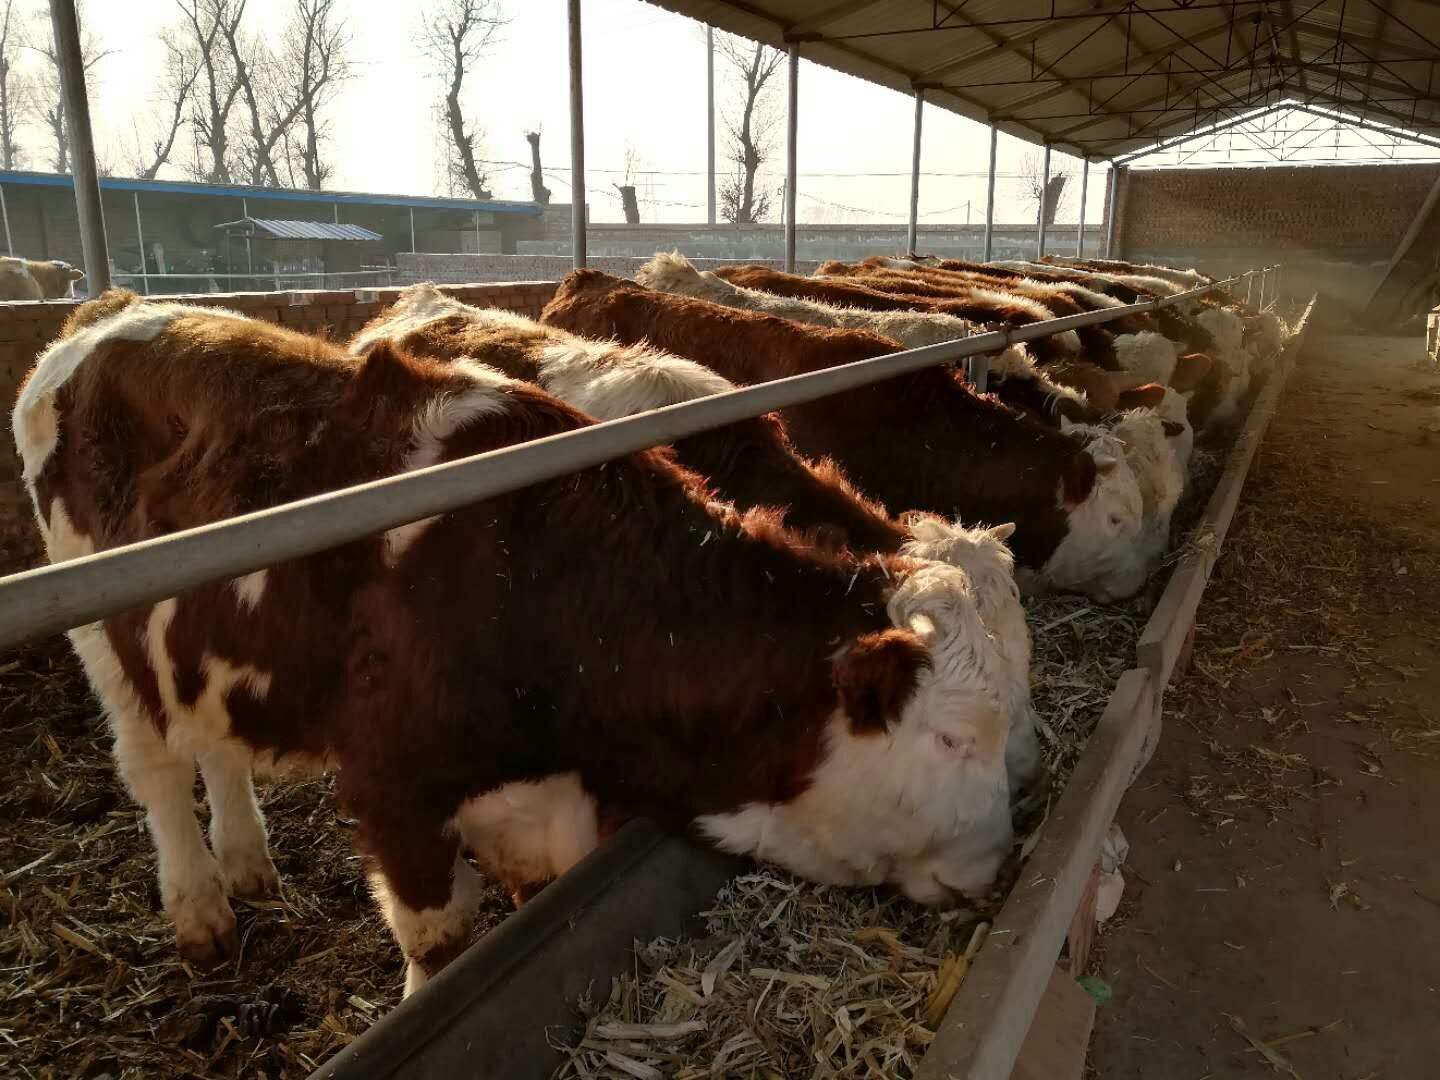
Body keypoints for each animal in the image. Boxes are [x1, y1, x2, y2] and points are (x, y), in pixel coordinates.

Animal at [16, 292, 1019, 996]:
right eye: (949, 738)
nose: (1001, 862)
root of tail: (109, 310)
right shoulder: (392, 782)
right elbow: (441, 939)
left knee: (214, 746)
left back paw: (249, 862)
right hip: (100, 626)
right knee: (152, 763)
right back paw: (199, 904)